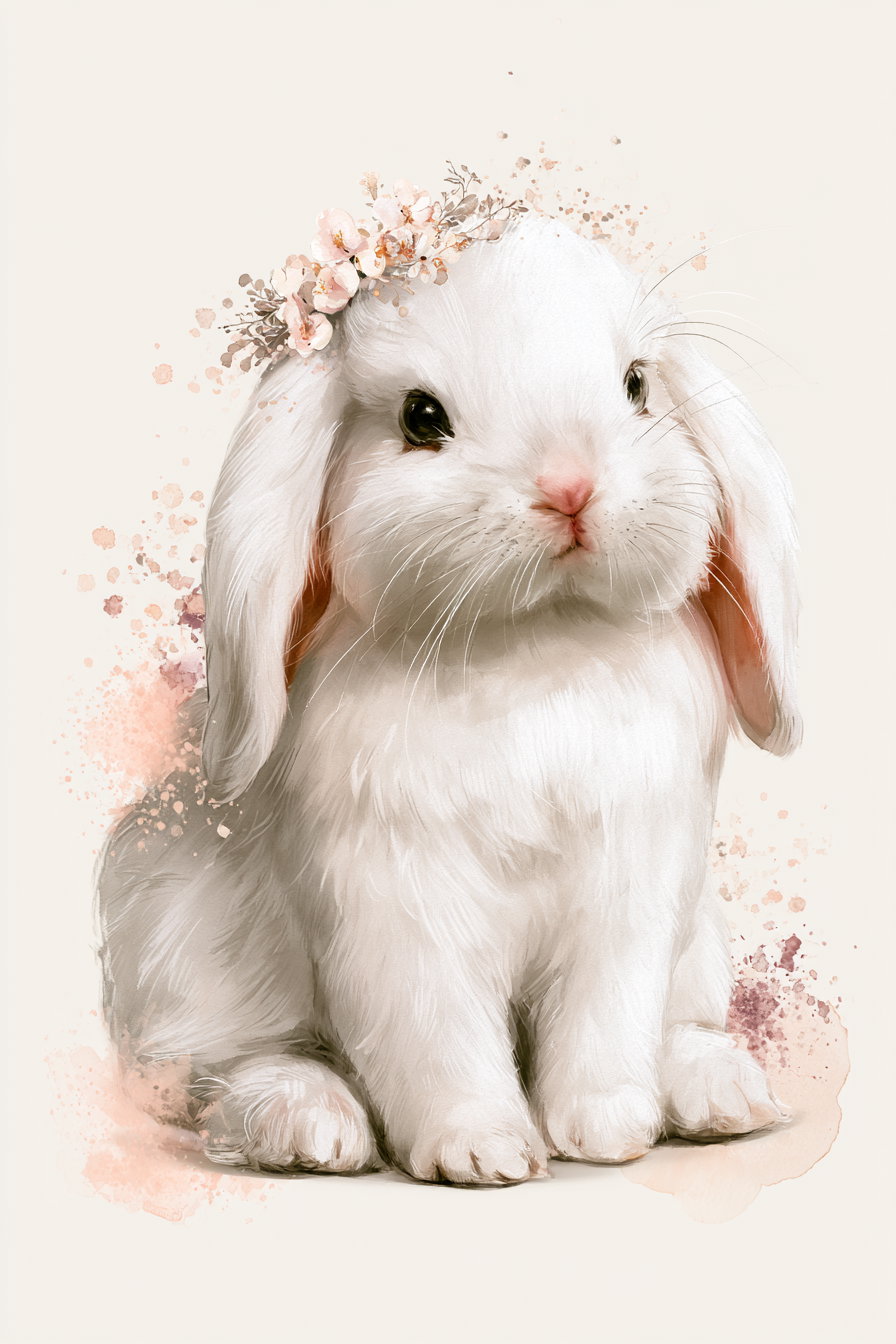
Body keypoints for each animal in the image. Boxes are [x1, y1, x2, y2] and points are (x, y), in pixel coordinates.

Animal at [97, 213, 800, 1186]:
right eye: (420, 418)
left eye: (635, 386)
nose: (570, 485)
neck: (535, 645)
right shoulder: (392, 905)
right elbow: (437, 1036)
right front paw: (485, 1153)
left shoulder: (632, 892)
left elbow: (606, 1019)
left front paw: (608, 1133)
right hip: (178, 952)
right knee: (228, 1065)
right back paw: (306, 1126)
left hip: (699, 942)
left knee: (680, 1023)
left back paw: (719, 1094)